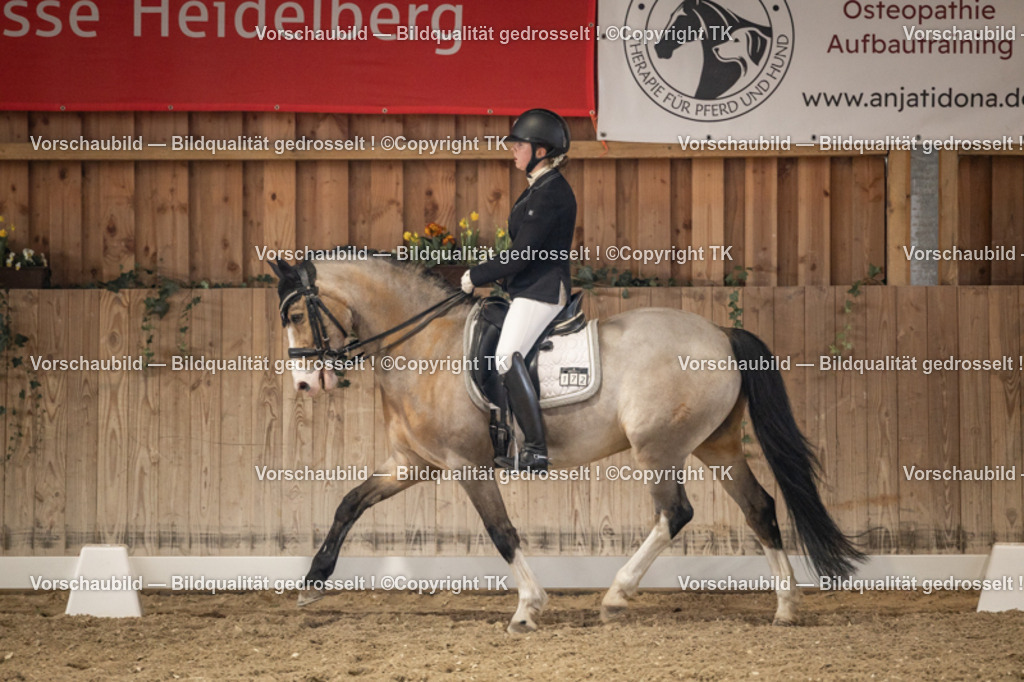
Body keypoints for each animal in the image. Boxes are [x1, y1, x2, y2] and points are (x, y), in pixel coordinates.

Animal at [270, 255, 863, 633]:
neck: (423, 345)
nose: (304, 385)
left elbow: (502, 533)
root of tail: (721, 333)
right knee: (759, 508)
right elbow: (349, 504)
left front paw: (528, 608)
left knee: (675, 513)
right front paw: (312, 582)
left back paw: (617, 596)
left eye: (297, 315)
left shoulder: (468, 466)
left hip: (659, 449)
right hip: (716, 447)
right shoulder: (411, 463)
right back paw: (785, 608)